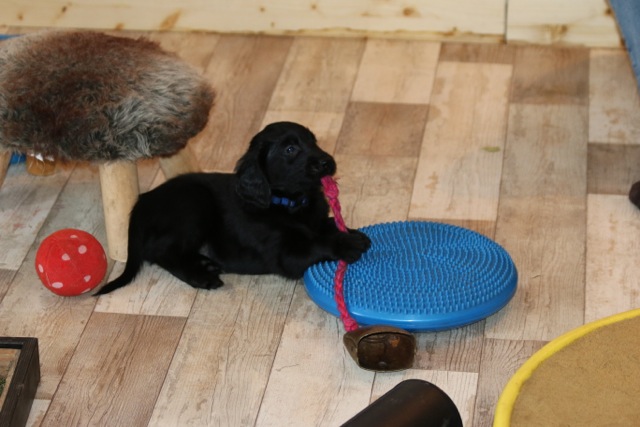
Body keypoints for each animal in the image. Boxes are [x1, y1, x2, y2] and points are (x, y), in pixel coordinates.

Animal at [95, 121, 371, 295]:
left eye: (313, 141)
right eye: (290, 149)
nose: (328, 162)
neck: (287, 203)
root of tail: (144, 201)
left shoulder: (315, 220)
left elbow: (326, 225)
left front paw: (351, 232)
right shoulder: (284, 253)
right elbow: (315, 243)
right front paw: (348, 243)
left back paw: (204, 263)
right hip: (194, 204)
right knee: (160, 250)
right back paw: (201, 276)